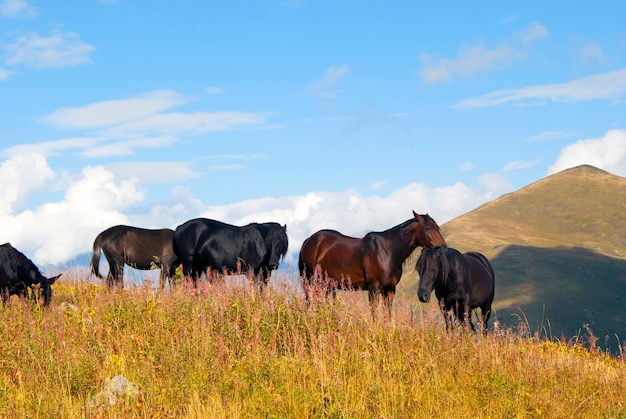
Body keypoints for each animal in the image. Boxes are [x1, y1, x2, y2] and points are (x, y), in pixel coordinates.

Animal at [296, 212, 444, 310]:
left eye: (437, 228)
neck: (387, 251)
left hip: (326, 285)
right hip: (310, 281)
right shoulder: (374, 288)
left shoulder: (390, 290)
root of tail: (308, 240)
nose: (443, 247)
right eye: (428, 228)